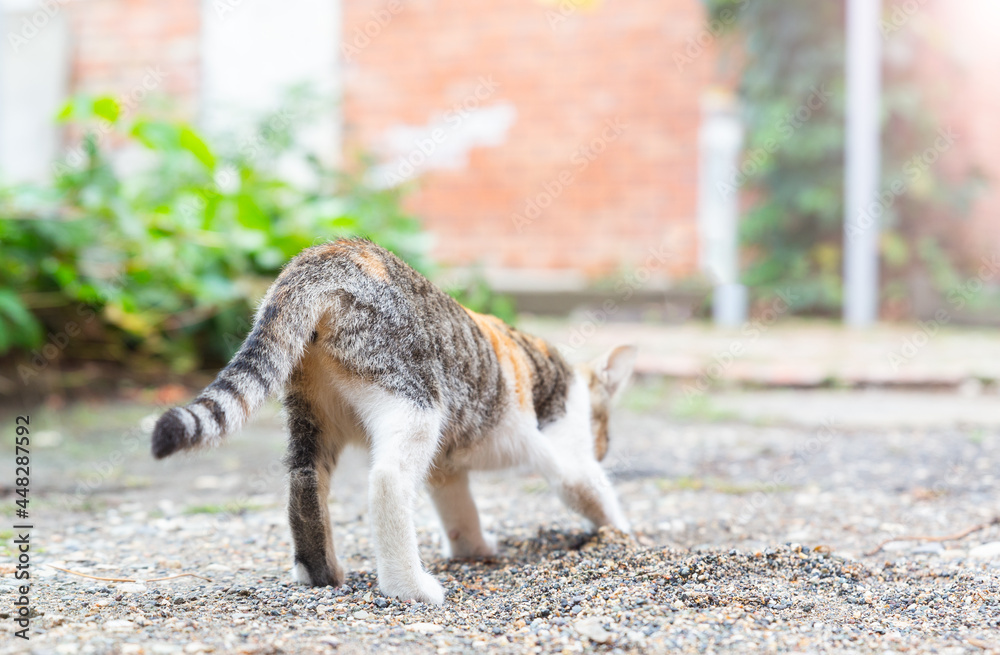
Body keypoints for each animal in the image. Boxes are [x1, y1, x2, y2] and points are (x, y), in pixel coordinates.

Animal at [150, 237, 632, 604]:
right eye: (604, 427)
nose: (606, 446)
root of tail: (331, 252)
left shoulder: (447, 467)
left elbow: (460, 511)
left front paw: (473, 549)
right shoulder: (566, 447)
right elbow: (591, 490)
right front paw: (625, 536)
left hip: (313, 411)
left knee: (304, 480)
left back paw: (320, 573)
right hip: (414, 399)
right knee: (387, 481)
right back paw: (411, 587)